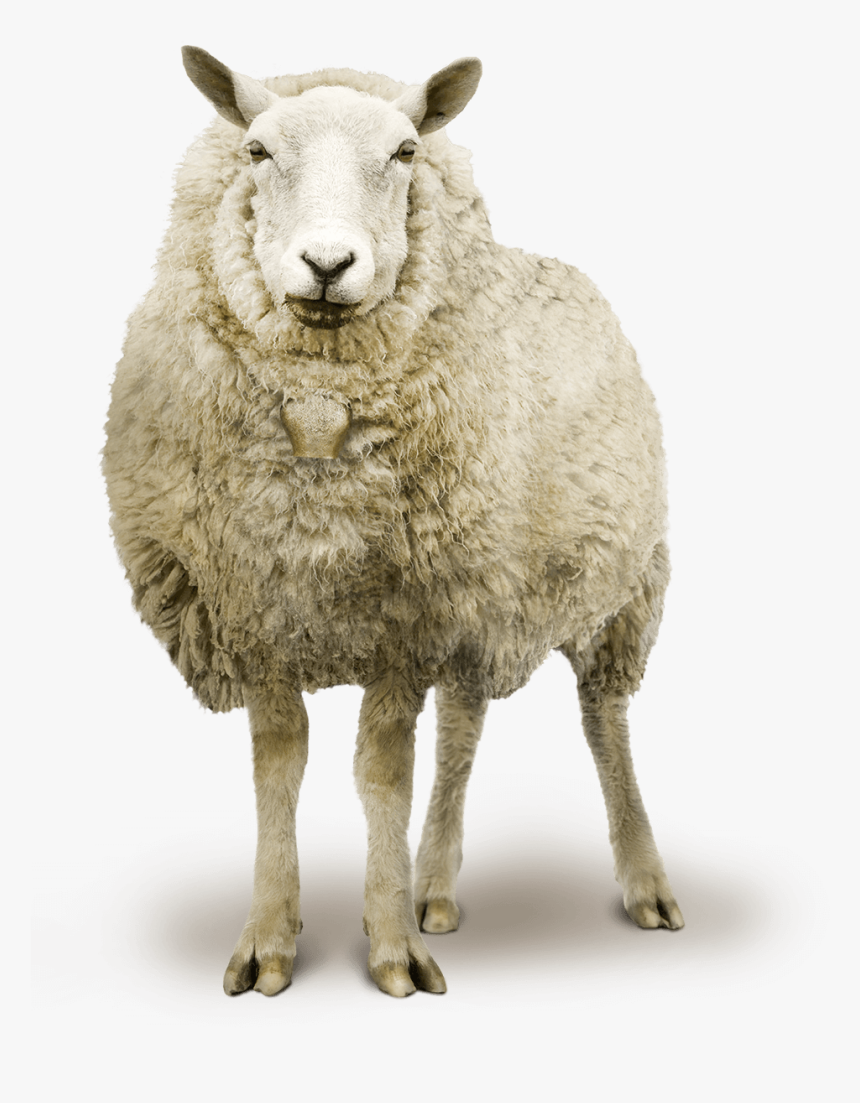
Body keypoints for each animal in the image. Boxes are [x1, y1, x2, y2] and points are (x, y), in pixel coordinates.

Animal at [103, 45, 684, 999]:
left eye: (406, 151)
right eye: (257, 150)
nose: (328, 261)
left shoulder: (406, 616)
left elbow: (382, 772)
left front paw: (388, 950)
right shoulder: (261, 603)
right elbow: (280, 763)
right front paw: (270, 937)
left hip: (621, 584)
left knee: (603, 717)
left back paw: (644, 882)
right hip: (481, 596)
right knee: (464, 725)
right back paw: (435, 884)